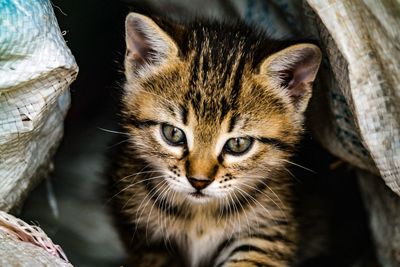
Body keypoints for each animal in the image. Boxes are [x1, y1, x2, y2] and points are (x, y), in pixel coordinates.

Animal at [108, 11, 322, 266]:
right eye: (173, 134)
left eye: (238, 144)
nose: (198, 182)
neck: (200, 215)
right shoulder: (144, 238)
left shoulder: (270, 230)